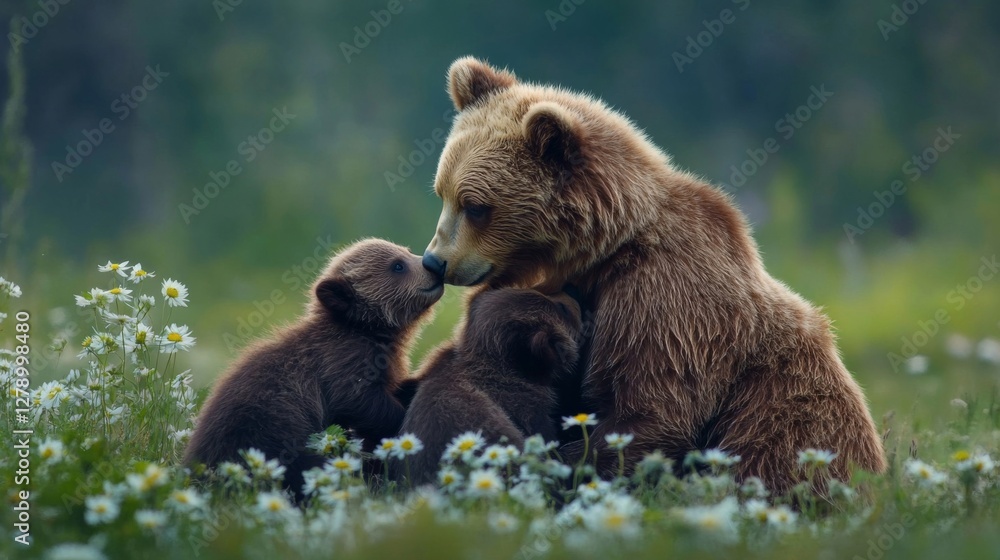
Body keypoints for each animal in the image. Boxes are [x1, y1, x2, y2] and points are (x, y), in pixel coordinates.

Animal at [184, 238, 443, 496]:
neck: (369, 331)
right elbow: (360, 401)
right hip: (267, 431)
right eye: (397, 266)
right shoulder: (343, 362)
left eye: (407, 251)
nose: (434, 267)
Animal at [418, 56, 887, 495]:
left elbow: (649, 411)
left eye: (475, 206)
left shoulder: (666, 298)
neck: (602, 250)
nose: (434, 261)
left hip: (790, 418)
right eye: (442, 192)